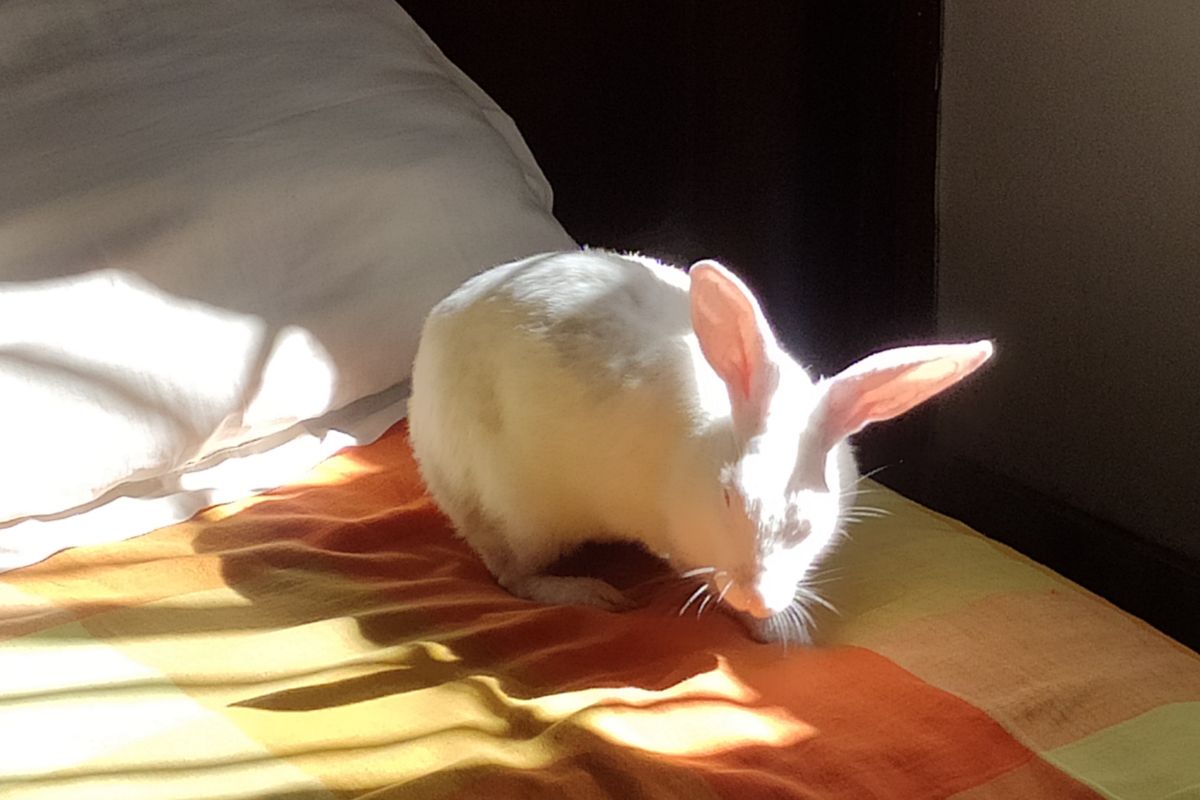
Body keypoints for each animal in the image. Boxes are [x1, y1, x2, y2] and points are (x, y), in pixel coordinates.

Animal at [407, 248, 993, 642]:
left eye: (808, 525)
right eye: (730, 498)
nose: (758, 598)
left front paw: (780, 627)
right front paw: (774, 629)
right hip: (518, 515)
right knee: (512, 574)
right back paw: (593, 593)